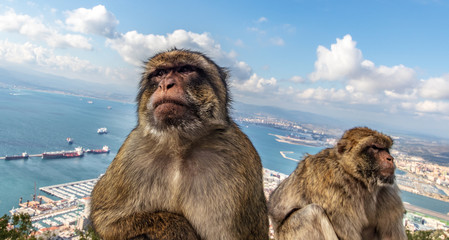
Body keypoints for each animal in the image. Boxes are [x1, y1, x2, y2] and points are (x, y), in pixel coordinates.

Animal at [89, 49, 268, 240]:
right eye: (160, 73)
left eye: (185, 69)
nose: (165, 84)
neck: (179, 146)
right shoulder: (131, 153)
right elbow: (105, 219)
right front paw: (177, 228)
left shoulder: (240, 157)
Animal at [268, 126, 408, 239]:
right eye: (374, 147)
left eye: (386, 149)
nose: (390, 158)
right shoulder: (332, 187)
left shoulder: (388, 192)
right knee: (312, 213)